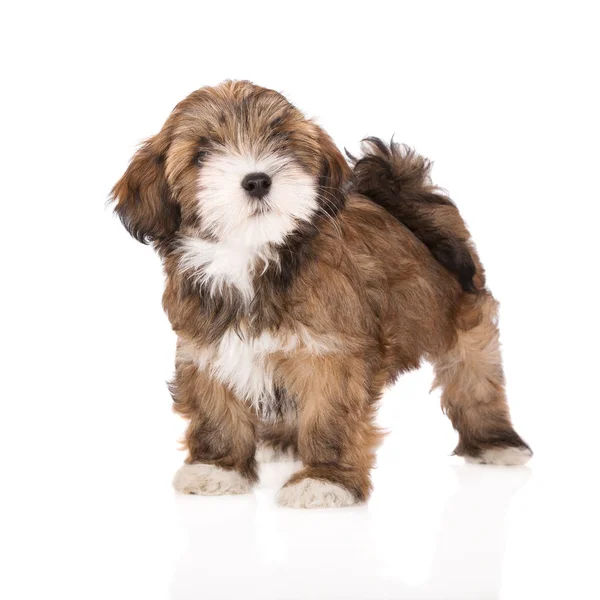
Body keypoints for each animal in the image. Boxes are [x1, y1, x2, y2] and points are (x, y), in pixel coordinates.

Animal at [111, 79, 528, 508]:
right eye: (202, 155)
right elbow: (217, 409)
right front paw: (217, 468)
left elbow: (329, 416)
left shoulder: (333, 354)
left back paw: (495, 442)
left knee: (474, 378)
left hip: (465, 317)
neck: (252, 257)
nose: (257, 180)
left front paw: (325, 480)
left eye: (281, 140)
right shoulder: (208, 349)